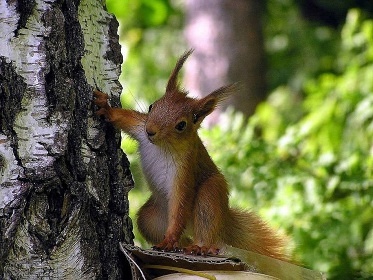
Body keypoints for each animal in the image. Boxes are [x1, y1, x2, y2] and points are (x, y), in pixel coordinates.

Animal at [93, 49, 288, 260]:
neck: (162, 146)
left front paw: (170, 239)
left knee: (206, 227)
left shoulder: (186, 168)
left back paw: (201, 247)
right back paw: (181, 245)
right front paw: (106, 108)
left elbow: (181, 202)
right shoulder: (140, 127)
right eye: (152, 106)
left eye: (181, 125)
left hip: (210, 195)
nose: (151, 131)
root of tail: (224, 219)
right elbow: (125, 118)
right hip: (151, 218)